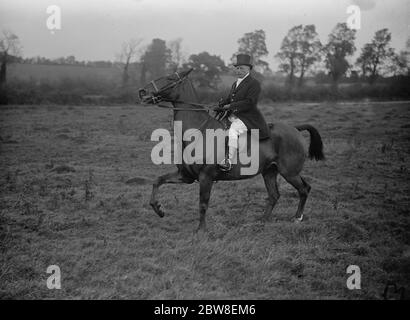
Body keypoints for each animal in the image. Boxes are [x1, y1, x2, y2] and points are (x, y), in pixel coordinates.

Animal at [139, 69, 326, 231]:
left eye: (170, 78)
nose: (142, 92)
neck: (198, 132)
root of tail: (295, 128)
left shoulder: (205, 177)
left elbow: (203, 203)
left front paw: (201, 230)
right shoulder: (186, 176)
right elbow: (158, 181)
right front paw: (159, 209)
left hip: (289, 172)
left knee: (303, 189)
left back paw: (297, 218)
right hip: (270, 171)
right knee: (275, 195)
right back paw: (262, 221)